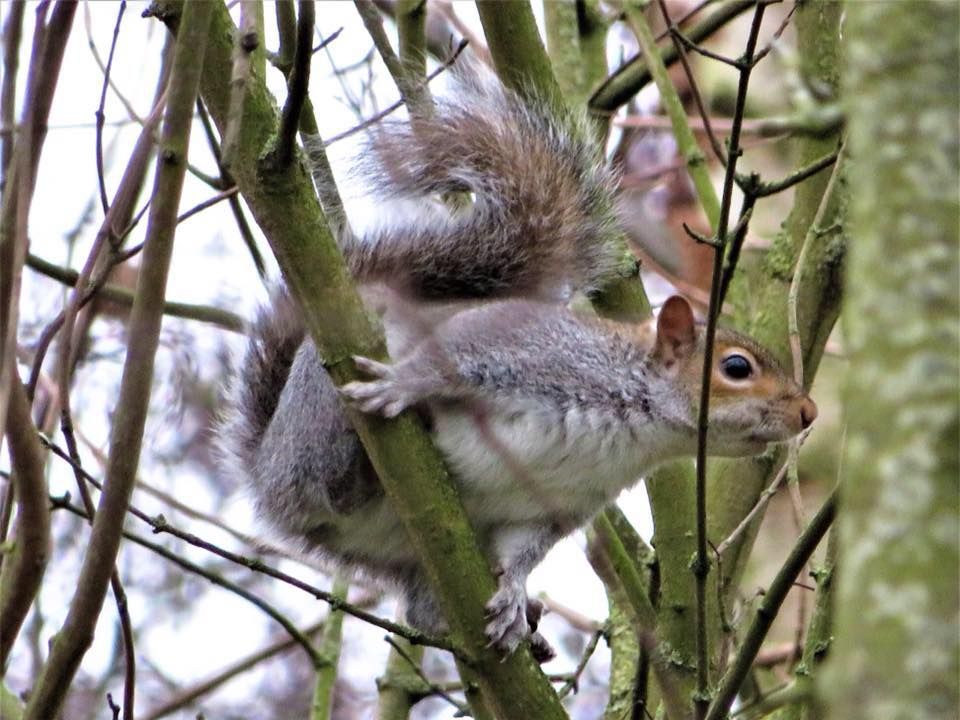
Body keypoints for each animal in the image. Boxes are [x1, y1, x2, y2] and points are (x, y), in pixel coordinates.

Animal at [218, 70, 818, 662]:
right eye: (736, 368)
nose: (808, 412)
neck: (635, 423)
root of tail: (262, 472)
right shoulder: (524, 348)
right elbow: (450, 357)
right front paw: (403, 383)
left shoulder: (554, 506)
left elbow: (522, 551)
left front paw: (512, 594)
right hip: (312, 422)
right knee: (323, 478)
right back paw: (356, 465)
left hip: (403, 552)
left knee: (421, 606)